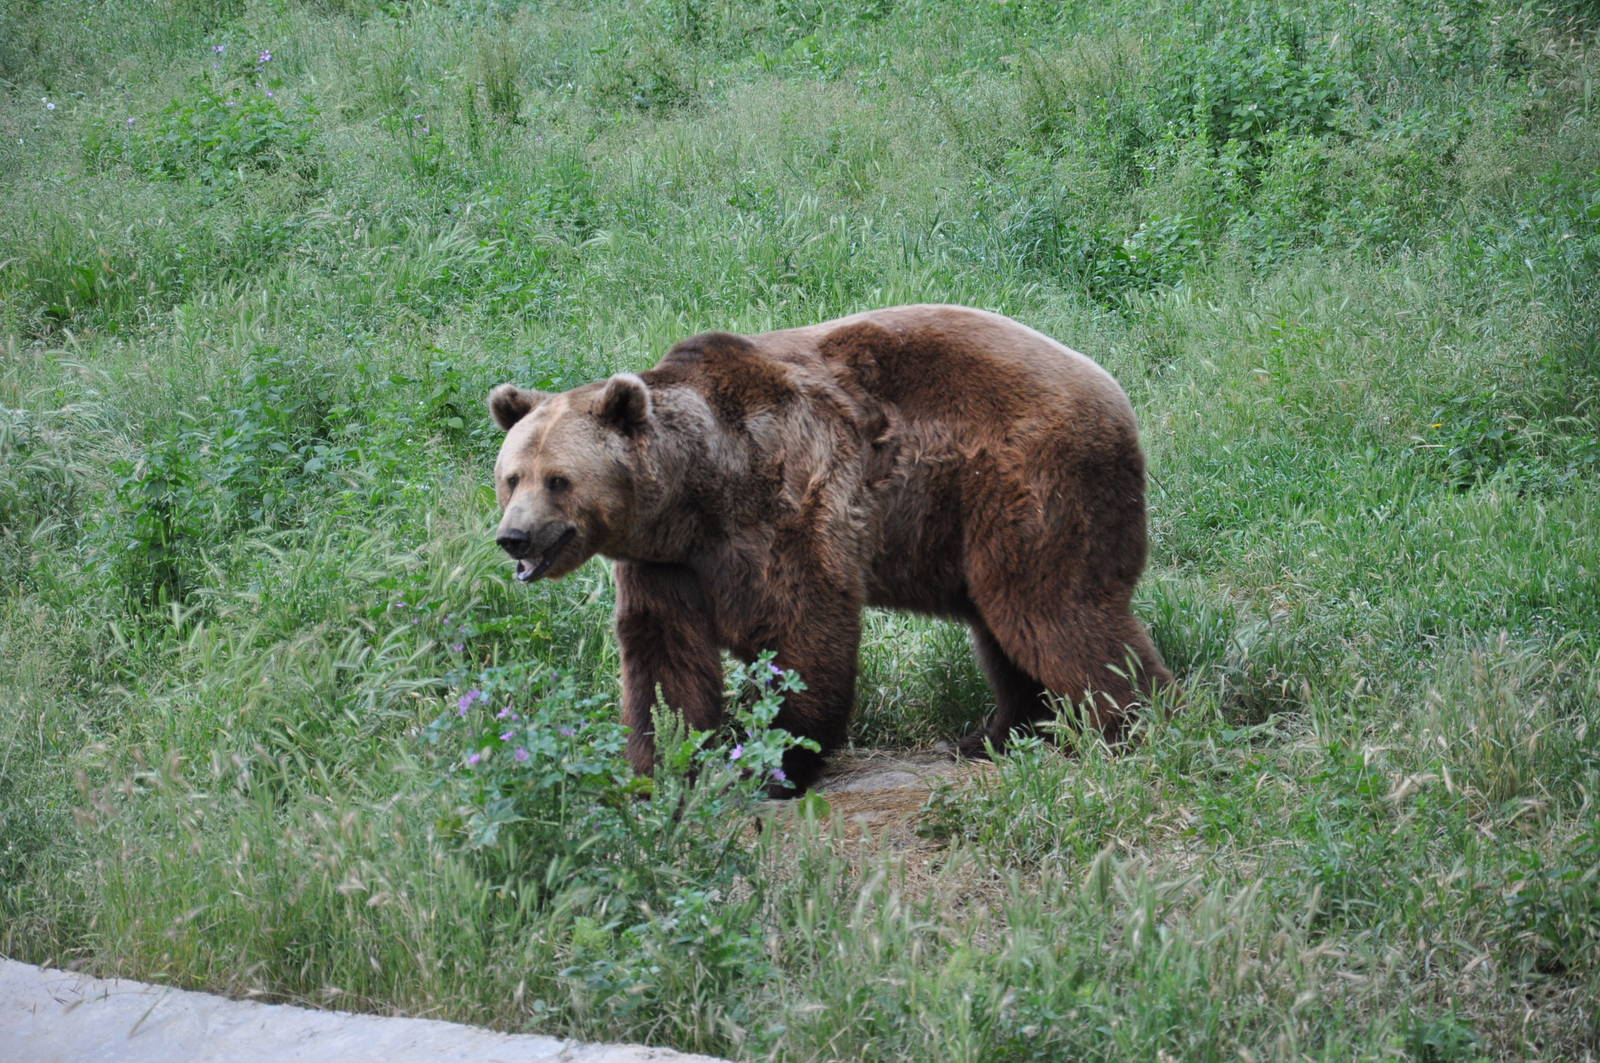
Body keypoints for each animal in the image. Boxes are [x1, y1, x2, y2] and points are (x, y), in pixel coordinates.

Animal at [488, 304, 1174, 792]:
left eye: (558, 479)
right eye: (511, 476)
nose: (513, 537)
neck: (696, 492)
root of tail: (1115, 390)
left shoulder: (784, 496)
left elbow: (801, 626)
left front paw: (775, 761)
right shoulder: (664, 561)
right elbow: (663, 658)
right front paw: (663, 763)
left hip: (1028, 480)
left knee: (1052, 610)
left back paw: (1130, 725)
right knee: (1004, 628)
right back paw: (1001, 733)